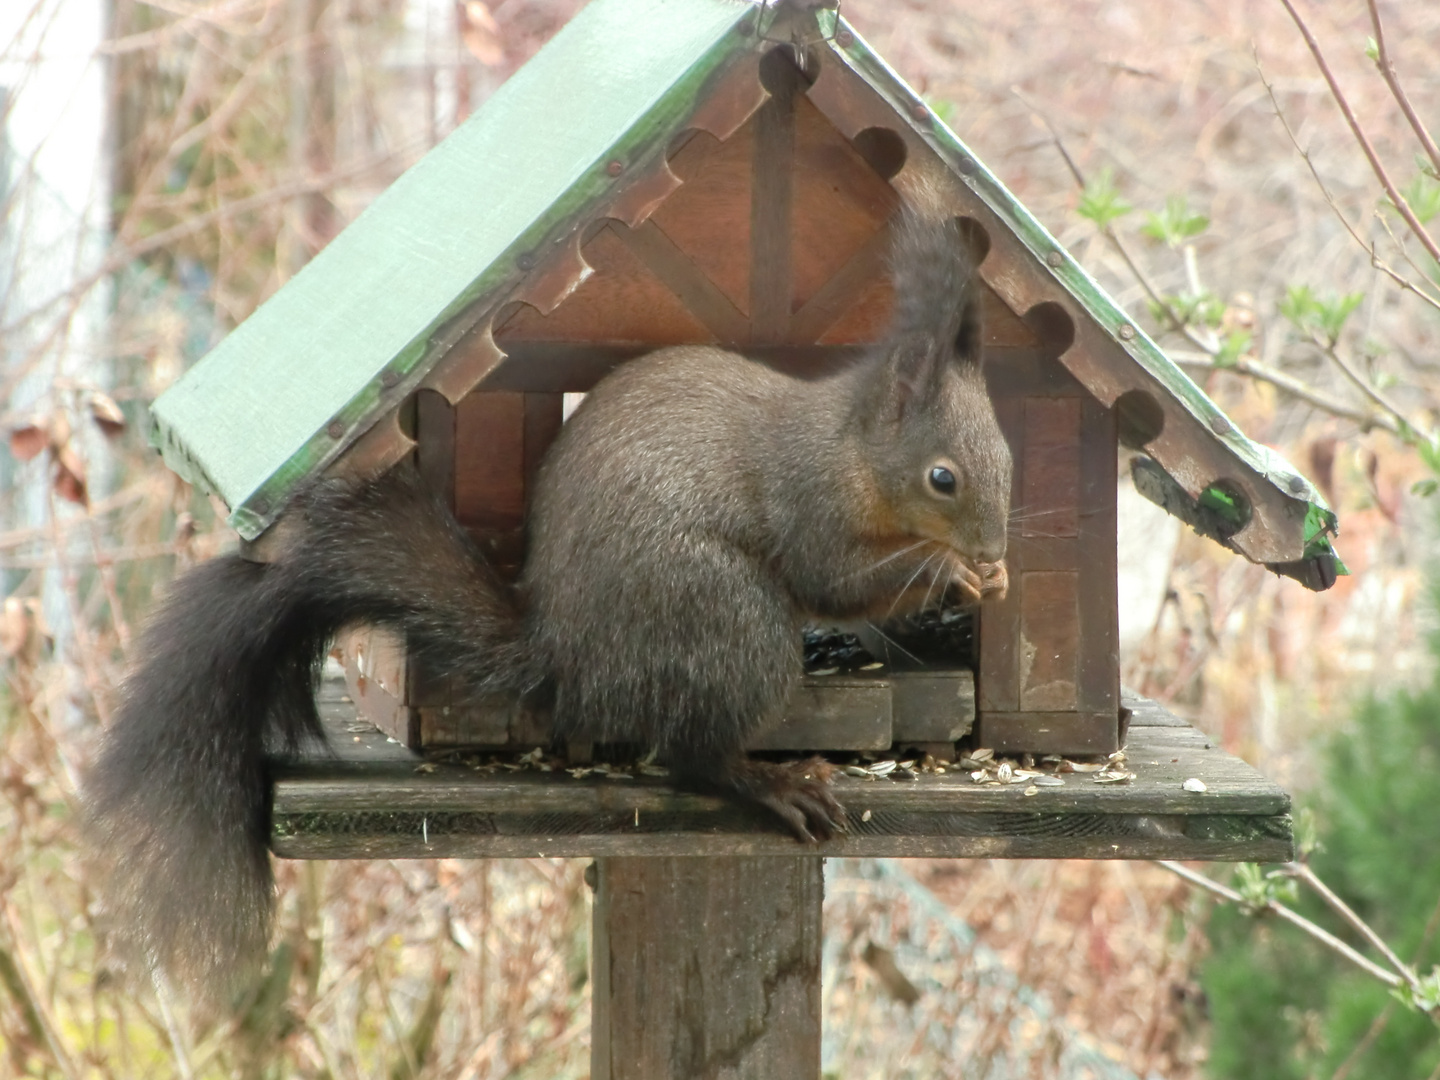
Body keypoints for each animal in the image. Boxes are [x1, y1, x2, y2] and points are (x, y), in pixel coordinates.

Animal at [84, 194, 1013, 996]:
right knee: (694, 756)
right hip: (725, 620)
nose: (996, 549)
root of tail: (569, 657)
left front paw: (987, 580)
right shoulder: (808, 501)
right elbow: (837, 580)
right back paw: (773, 783)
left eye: (1008, 452)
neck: (853, 454)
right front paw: (954, 573)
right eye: (943, 477)